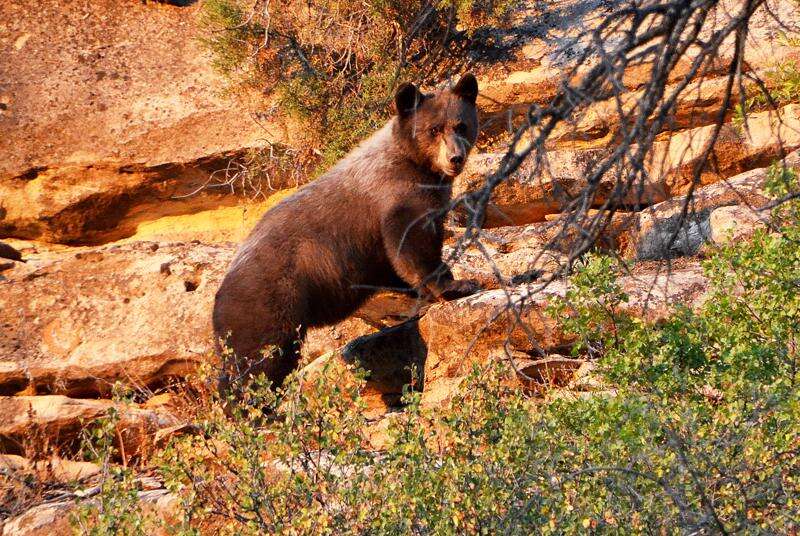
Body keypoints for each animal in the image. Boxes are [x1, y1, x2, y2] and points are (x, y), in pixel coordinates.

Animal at [212, 72, 482, 398]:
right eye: (434, 129)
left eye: (461, 125)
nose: (455, 158)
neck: (417, 165)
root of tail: (219, 296)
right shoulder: (396, 195)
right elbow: (412, 246)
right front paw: (457, 284)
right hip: (268, 302)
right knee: (260, 360)